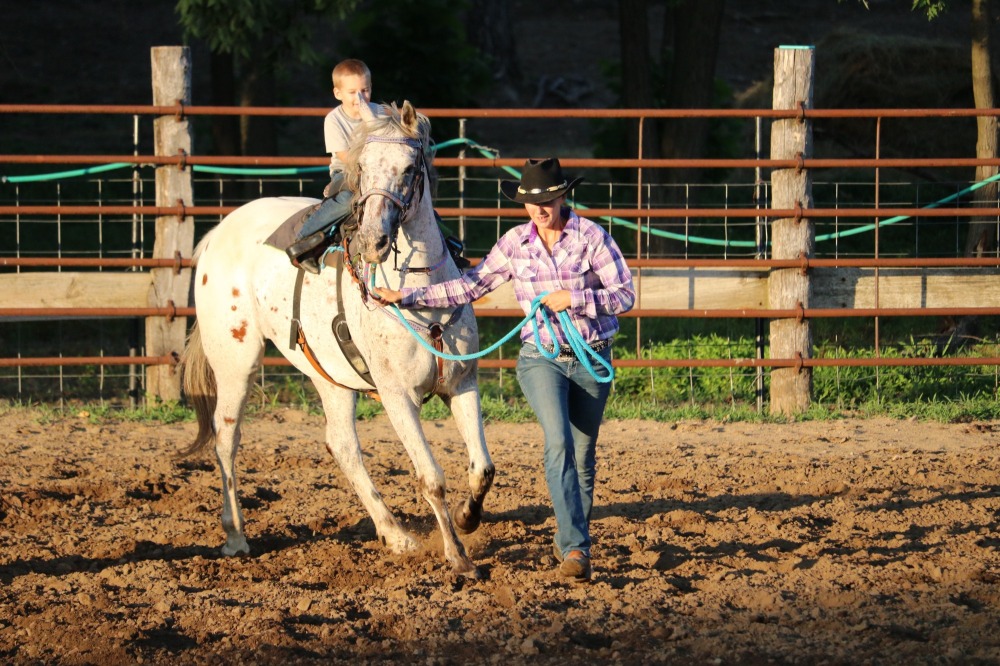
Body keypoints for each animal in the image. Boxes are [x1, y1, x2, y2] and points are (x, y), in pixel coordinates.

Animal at [182, 98, 494, 576]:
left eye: (409, 169)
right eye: (361, 167)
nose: (373, 240)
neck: (423, 290)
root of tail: (219, 232)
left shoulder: (462, 384)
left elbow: (482, 469)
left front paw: (466, 518)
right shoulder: (397, 395)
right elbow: (431, 478)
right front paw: (458, 558)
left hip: (329, 375)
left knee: (343, 446)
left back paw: (395, 535)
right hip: (236, 362)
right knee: (225, 438)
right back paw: (235, 536)